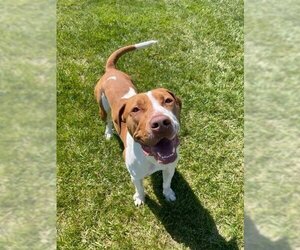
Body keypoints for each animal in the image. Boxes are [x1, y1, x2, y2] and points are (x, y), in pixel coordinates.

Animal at [95, 40, 182, 205]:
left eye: (168, 100)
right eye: (135, 109)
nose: (161, 123)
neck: (151, 157)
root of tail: (111, 71)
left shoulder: (170, 167)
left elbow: (166, 183)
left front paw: (168, 193)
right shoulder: (135, 175)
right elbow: (140, 188)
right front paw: (140, 198)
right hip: (102, 105)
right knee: (108, 120)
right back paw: (108, 132)